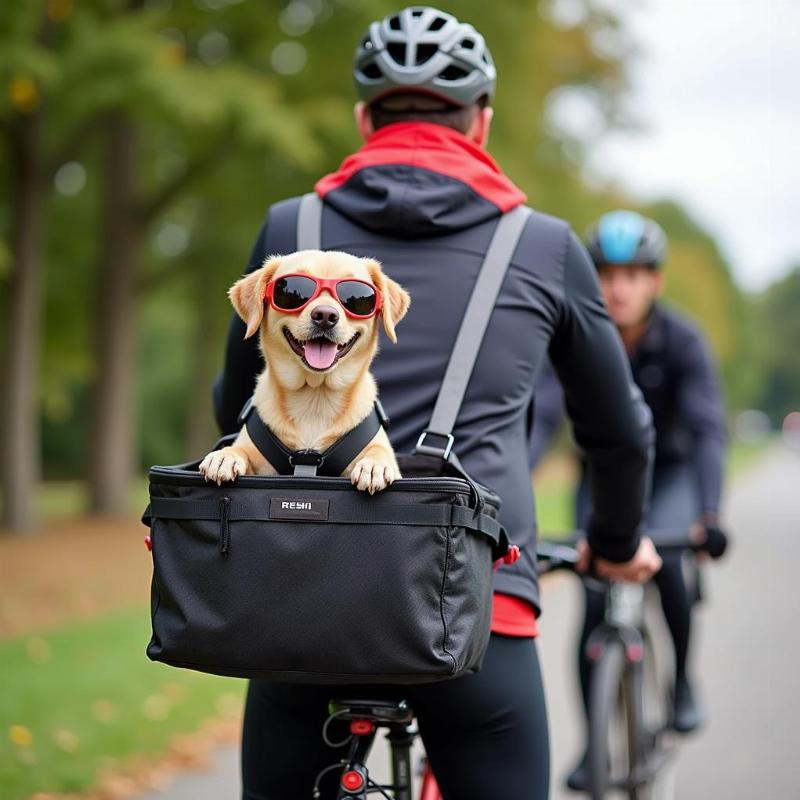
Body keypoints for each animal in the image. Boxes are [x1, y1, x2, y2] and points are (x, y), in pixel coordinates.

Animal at [200, 248, 412, 494]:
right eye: (294, 292)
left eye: (357, 298)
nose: (325, 315)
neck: (315, 395)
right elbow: (240, 448)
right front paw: (225, 456)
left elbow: (378, 450)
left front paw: (375, 465)